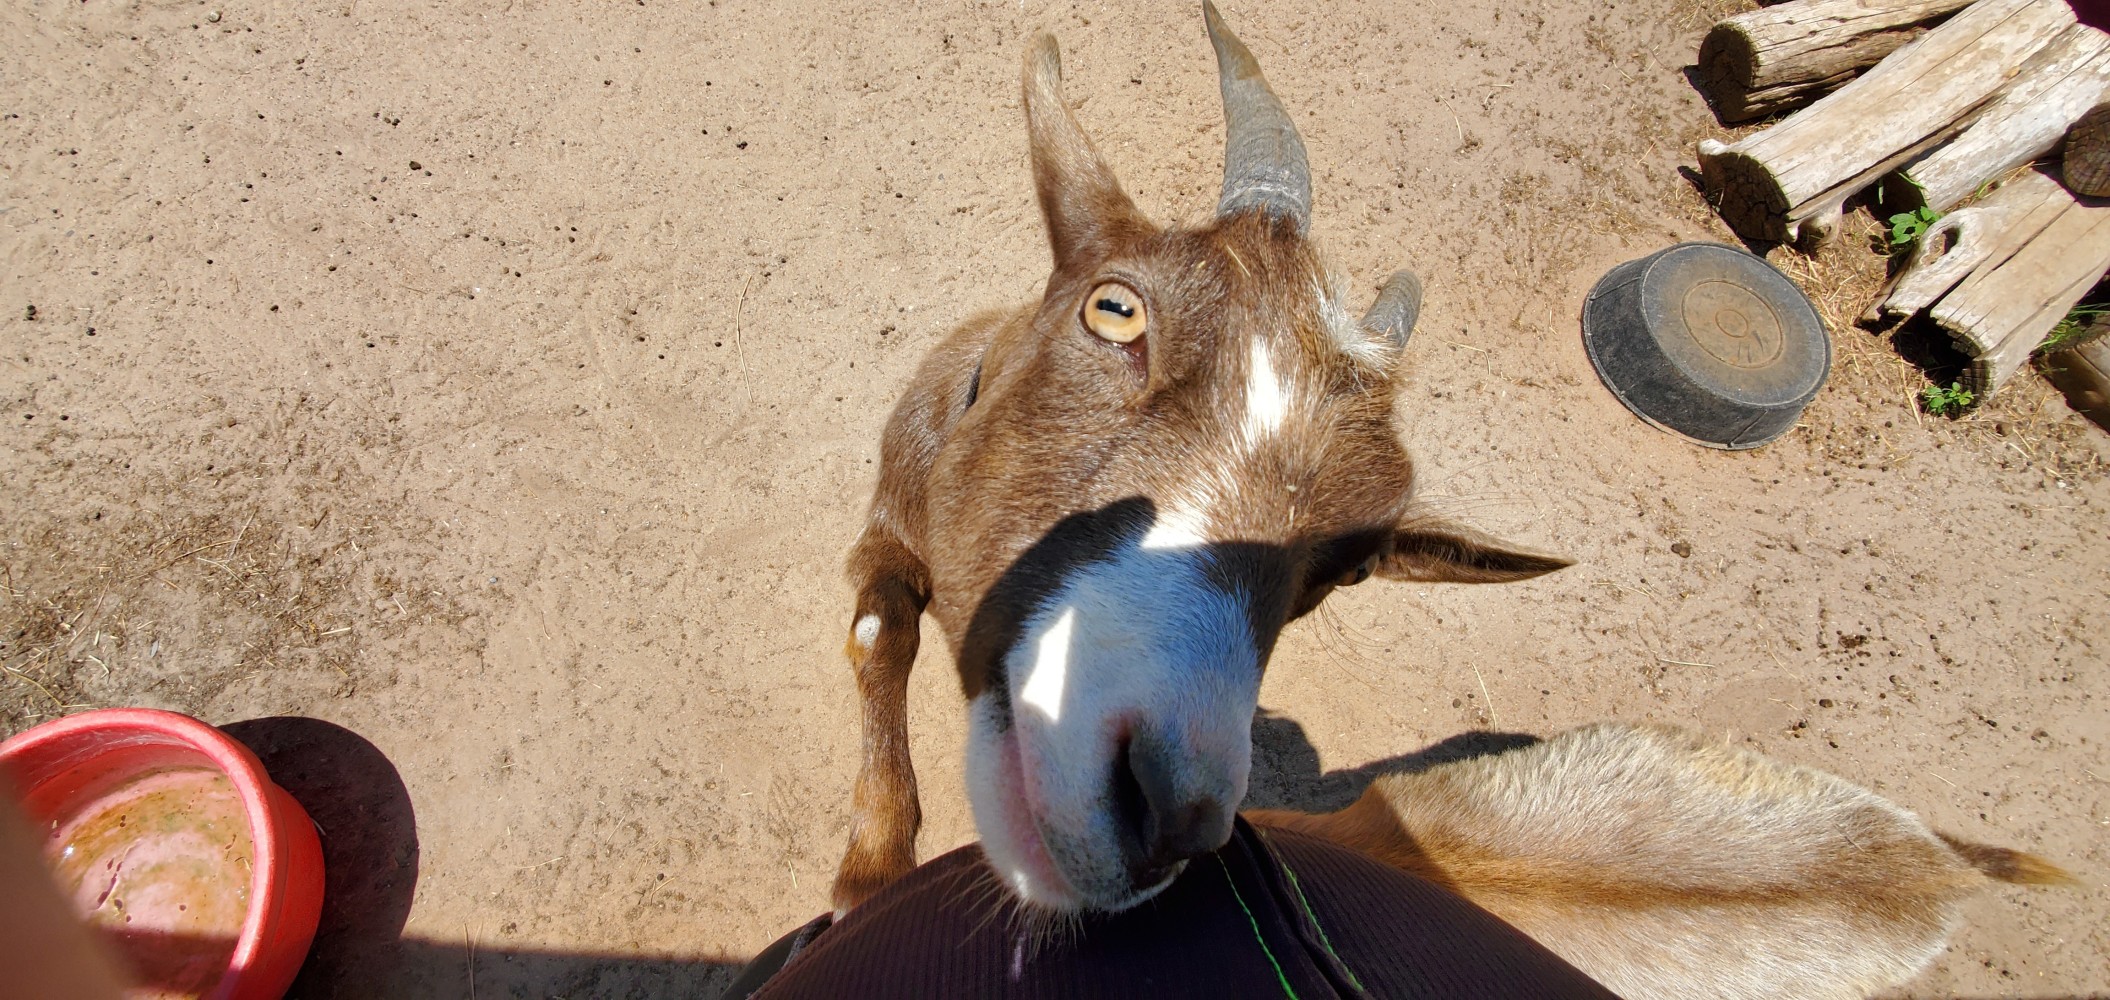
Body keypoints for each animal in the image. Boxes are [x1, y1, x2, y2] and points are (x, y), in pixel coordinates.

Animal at [831, 2, 1569, 914]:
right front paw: (870, 868)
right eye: (1115, 309)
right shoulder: (892, 516)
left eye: (1355, 566)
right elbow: (879, 629)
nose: (1166, 811)